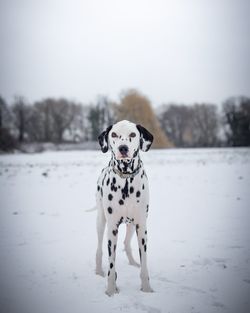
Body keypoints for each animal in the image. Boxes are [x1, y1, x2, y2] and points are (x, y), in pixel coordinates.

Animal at [95, 119, 154, 294]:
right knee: (99, 249)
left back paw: (133, 263)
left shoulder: (142, 226)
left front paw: (146, 289)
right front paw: (111, 290)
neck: (126, 181)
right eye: (114, 134)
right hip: (101, 222)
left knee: (127, 243)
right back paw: (98, 271)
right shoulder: (112, 228)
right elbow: (111, 265)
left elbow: (144, 264)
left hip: (132, 225)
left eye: (133, 134)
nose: (123, 148)